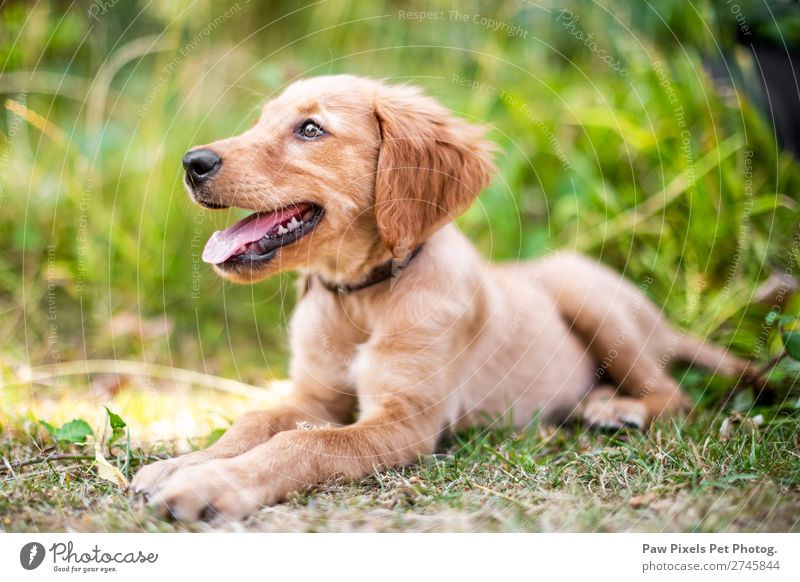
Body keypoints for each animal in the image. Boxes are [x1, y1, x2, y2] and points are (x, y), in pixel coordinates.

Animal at [131, 76, 752, 520]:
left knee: (675, 394)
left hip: (590, 298)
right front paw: (181, 464)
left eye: (310, 129)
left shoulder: (407, 421)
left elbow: (306, 446)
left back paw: (618, 410)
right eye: (260, 121)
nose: (192, 163)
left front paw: (212, 485)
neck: (361, 297)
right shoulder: (314, 396)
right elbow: (254, 421)